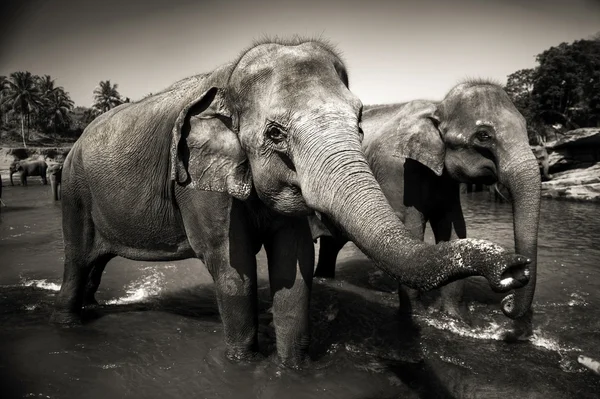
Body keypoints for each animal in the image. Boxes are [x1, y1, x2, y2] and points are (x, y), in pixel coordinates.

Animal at [314, 81, 540, 338]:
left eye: (525, 126)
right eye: (483, 136)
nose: (507, 302)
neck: (437, 108)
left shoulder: (448, 183)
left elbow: (454, 229)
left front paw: (457, 321)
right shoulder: (397, 172)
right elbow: (411, 226)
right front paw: (417, 316)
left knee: (332, 243)